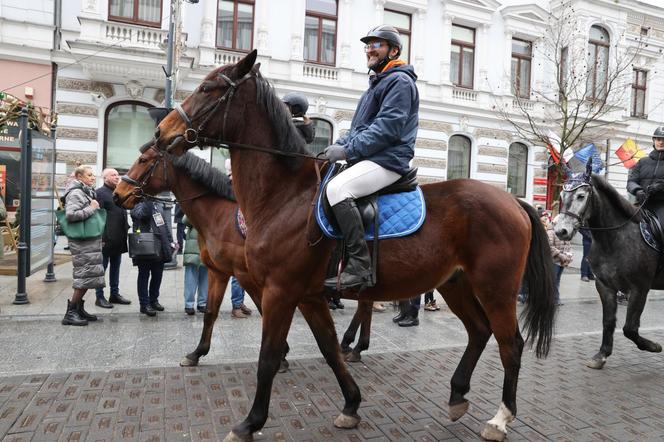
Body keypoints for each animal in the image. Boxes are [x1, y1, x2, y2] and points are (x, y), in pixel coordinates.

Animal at [149, 51, 556, 442]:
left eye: (209, 88)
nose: (160, 131)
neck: (284, 197)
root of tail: (513, 201)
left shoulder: (281, 291)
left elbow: (268, 358)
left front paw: (250, 423)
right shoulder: (309, 295)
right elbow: (329, 350)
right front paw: (351, 404)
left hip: (496, 289)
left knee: (510, 344)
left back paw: (500, 418)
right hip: (455, 284)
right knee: (478, 332)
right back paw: (457, 395)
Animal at [552, 162, 660, 370]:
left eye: (581, 196)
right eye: (561, 195)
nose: (561, 231)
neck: (615, 239)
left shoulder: (639, 288)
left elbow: (630, 328)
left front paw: (653, 346)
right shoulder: (605, 285)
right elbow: (609, 321)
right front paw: (601, 354)